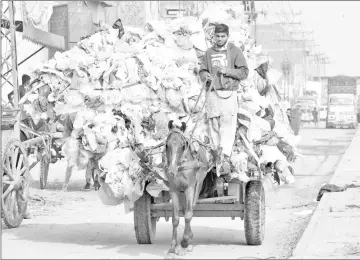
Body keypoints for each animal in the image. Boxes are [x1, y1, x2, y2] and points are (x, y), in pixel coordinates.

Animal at [164, 120, 217, 258]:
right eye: (166, 145)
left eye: (183, 145)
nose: (171, 171)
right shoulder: (173, 190)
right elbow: (176, 218)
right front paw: (172, 248)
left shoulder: (190, 188)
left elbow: (188, 215)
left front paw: (184, 242)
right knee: (184, 209)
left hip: (197, 185)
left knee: (191, 209)